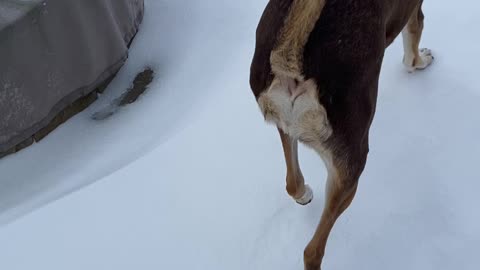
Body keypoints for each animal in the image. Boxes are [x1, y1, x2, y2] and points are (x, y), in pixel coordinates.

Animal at [249, 0, 434, 270]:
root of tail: (288, 62)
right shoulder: (413, 10)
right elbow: (412, 47)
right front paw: (422, 61)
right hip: (350, 168)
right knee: (312, 251)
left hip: (284, 125)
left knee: (292, 181)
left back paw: (303, 194)